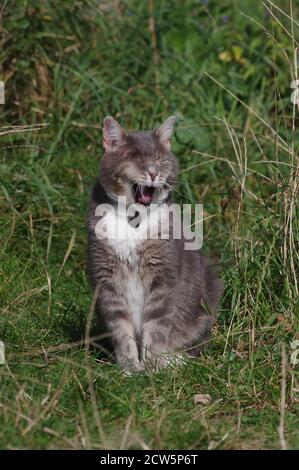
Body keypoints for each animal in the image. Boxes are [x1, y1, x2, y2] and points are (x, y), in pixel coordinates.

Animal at [86, 115, 223, 372]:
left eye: (160, 160)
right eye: (137, 160)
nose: (153, 173)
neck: (133, 218)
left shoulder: (163, 275)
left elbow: (157, 326)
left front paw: (152, 367)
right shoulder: (107, 279)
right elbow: (121, 329)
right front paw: (130, 369)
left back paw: (173, 360)